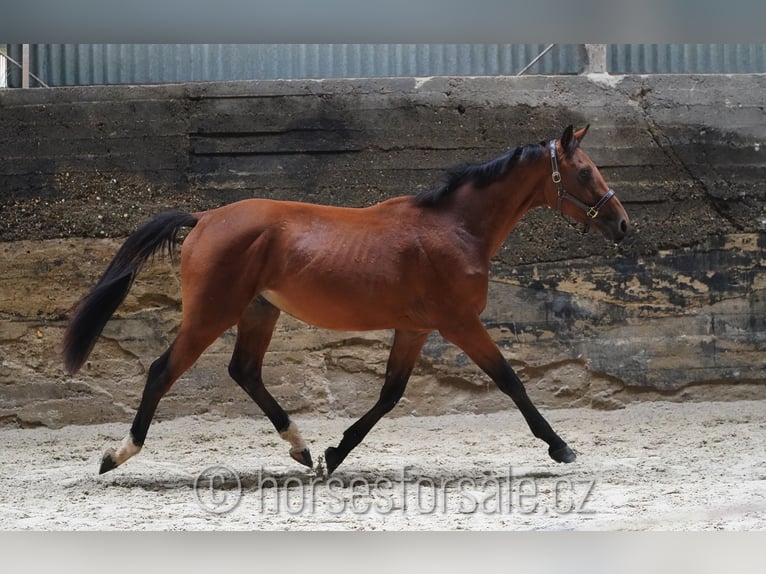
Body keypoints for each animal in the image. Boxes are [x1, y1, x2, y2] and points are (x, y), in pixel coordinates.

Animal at [63, 126, 632, 476]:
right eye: (585, 172)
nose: (622, 224)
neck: (455, 228)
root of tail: (203, 219)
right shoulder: (459, 323)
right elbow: (510, 380)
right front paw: (561, 446)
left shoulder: (416, 329)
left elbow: (390, 394)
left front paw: (335, 454)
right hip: (211, 314)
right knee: (163, 370)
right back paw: (117, 455)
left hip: (258, 311)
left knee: (245, 371)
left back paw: (302, 448)